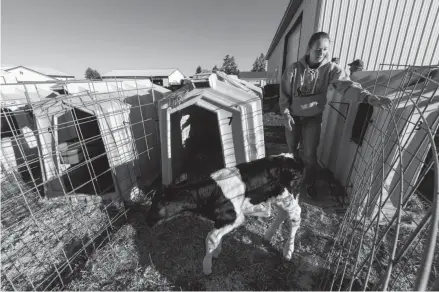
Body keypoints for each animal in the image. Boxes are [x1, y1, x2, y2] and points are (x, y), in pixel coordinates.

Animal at [146, 153, 304, 276]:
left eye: (157, 206)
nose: (147, 222)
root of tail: (293, 158)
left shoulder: (234, 218)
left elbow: (210, 237)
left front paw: (207, 267)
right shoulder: (221, 220)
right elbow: (216, 236)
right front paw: (216, 252)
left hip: (288, 197)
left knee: (296, 216)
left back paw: (288, 251)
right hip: (277, 197)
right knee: (283, 213)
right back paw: (268, 235)